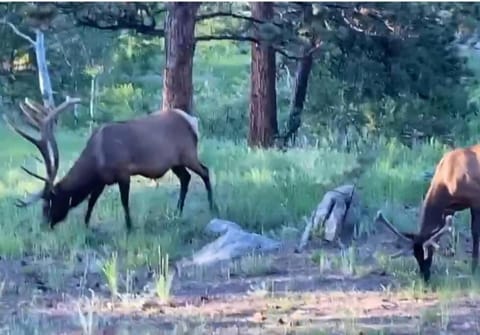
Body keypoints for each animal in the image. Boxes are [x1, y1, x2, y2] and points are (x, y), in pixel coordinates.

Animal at [4, 94, 216, 231]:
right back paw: (177, 211)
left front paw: (129, 227)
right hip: (175, 162)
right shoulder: (102, 180)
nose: (44, 225)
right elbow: (91, 201)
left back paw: (213, 207)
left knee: (205, 171)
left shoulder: (123, 172)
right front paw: (86, 225)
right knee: (186, 178)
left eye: (48, 203)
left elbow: (124, 201)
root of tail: (192, 120)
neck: (96, 160)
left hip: (188, 154)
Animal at [374, 143, 480, 282]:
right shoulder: (449, 209)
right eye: (415, 255)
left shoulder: (475, 199)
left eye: (425, 254)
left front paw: (474, 268)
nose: (425, 276)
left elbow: (475, 233)